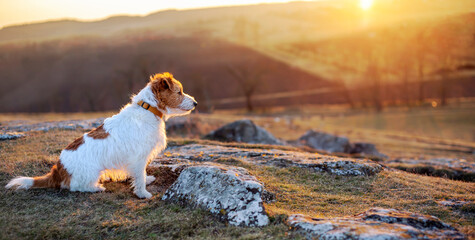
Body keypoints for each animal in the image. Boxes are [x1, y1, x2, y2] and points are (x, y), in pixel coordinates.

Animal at [6, 72, 195, 199]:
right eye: (179, 92)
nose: (196, 102)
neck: (148, 108)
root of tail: (58, 170)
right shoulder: (139, 156)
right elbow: (139, 175)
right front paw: (142, 193)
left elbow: (139, 174)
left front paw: (146, 180)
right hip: (90, 173)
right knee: (76, 186)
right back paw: (97, 188)